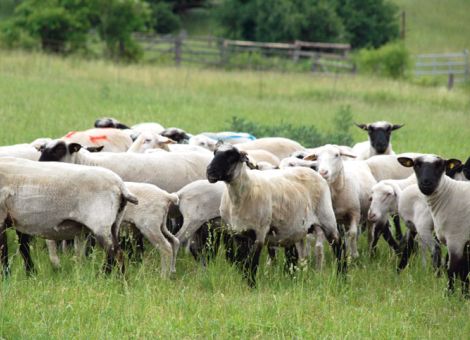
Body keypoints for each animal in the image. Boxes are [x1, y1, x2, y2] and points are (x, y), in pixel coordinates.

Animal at [0, 157, 138, 276]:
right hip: (114, 223)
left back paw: (119, 282)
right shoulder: (18, 221)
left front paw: (6, 276)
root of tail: (120, 186)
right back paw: (105, 277)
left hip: (100, 223)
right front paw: (30, 274)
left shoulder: (2, 218)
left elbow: (3, 252)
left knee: (116, 254)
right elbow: (24, 249)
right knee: (112, 255)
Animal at [207, 145, 346, 286]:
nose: (209, 172)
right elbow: (243, 263)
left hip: (327, 217)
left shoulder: (259, 233)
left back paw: (342, 277)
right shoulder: (238, 233)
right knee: (293, 257)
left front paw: (252, 286)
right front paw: (245, 283)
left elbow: (253, 263)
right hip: (294, 229)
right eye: (215, 153)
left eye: (231, 157)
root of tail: (316, 173)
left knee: (339, 245)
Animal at [396, 155, 470, 296]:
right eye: (416, 164)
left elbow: (452, 270)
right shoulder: (464, 242)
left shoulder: (456, 239)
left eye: (440, 165)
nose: (426, 183)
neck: (449, 195)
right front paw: (464, 295)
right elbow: (464, 271)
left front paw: (449, 295)